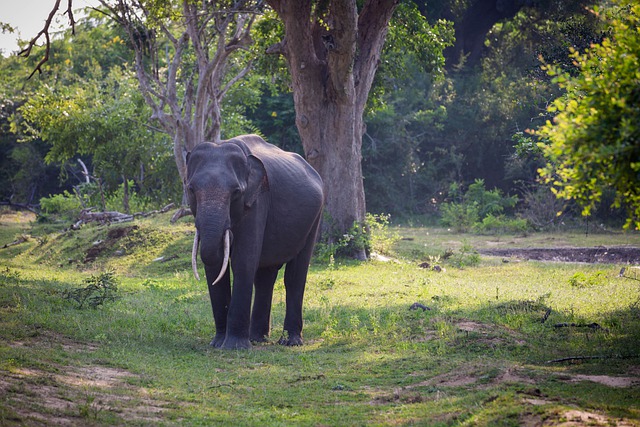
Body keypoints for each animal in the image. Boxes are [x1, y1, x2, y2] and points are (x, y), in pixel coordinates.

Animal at [186, 135, 324, 352]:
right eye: (191, 189)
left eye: (236, 192)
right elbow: (215, 265)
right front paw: (217, 343)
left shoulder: (257, 201)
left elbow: (243, 261)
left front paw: (234, 347)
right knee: (265, 277)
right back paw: (258, 338)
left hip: (314, 219)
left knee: (295, 275)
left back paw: (290, 342)